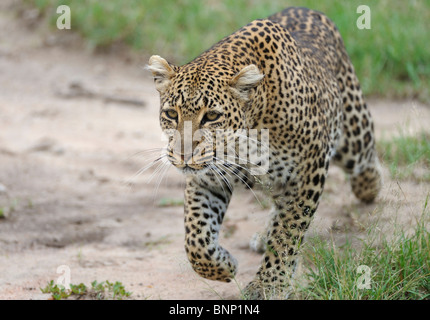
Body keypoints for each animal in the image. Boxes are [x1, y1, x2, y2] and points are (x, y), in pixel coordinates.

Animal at [146, 6, 382, 298]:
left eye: (211, 116)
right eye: (171, 114)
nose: (182, 156)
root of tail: (306, 8)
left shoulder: (308, 171)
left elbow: (288, 231)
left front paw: (269, 284)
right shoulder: (207, 179)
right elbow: (197, 238)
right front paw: (225, 266)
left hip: (352, 133)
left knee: (364, 157)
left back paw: (369, 186)